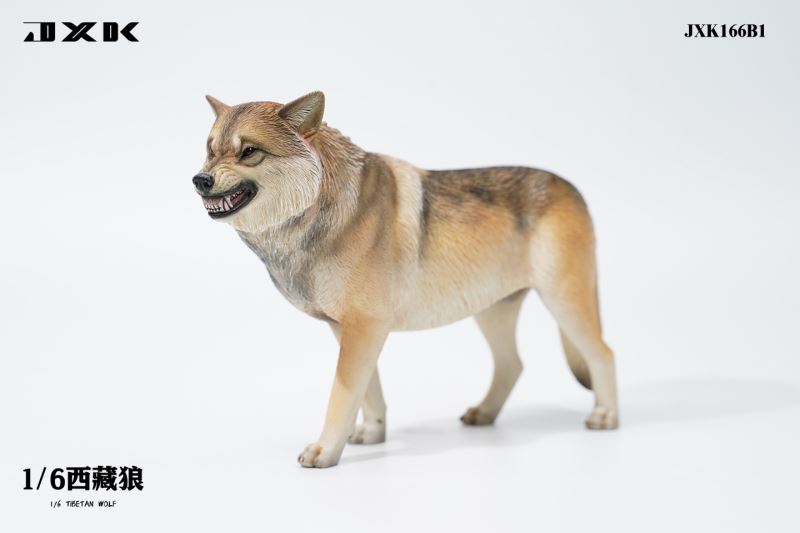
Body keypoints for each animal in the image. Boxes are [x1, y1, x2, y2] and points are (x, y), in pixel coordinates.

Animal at [193, 91, 619, 468]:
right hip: (492, 312)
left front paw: (325, 452)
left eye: (249, 151)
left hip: (564, 302)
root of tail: (572, 188)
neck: (322, 209)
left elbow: (341, 396)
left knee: (603, 353)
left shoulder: (364, 329)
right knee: (513, 364)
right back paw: (483, 414)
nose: (200, 180)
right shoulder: (350, 330)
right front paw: (372, 434)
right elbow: (369, 393)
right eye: (210, 150)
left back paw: (606, 417)